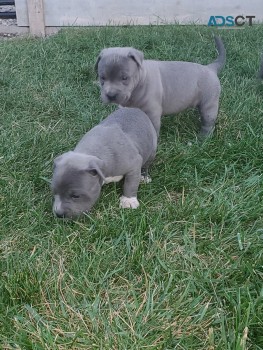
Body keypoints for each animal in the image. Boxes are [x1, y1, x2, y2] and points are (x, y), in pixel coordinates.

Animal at [96, 36, 226, 137]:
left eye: (124, 78)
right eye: (102, 78)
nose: (111, 95)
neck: (141, 80)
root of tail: (210, 68)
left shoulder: (152, 111)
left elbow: (153, 128)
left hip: (209, 104)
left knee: (208, 123)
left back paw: (202, 138)